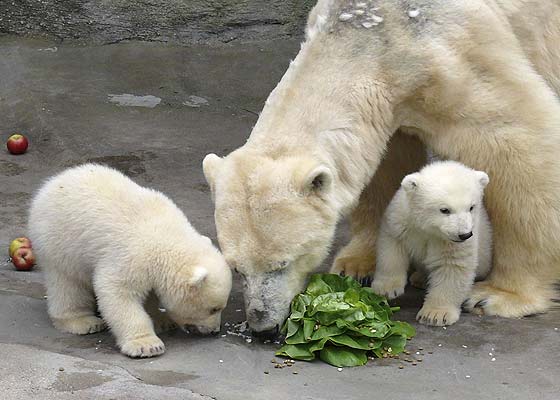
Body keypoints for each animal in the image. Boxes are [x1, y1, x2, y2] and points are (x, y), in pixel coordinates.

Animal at [205, 0, 560, 332]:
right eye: (236, 267)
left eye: (282, 263)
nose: (262, 324)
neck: (371, 30)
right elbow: (385, 164)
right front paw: (358, 263)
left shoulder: (454, 57)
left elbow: (517, 143)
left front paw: (500, 294)